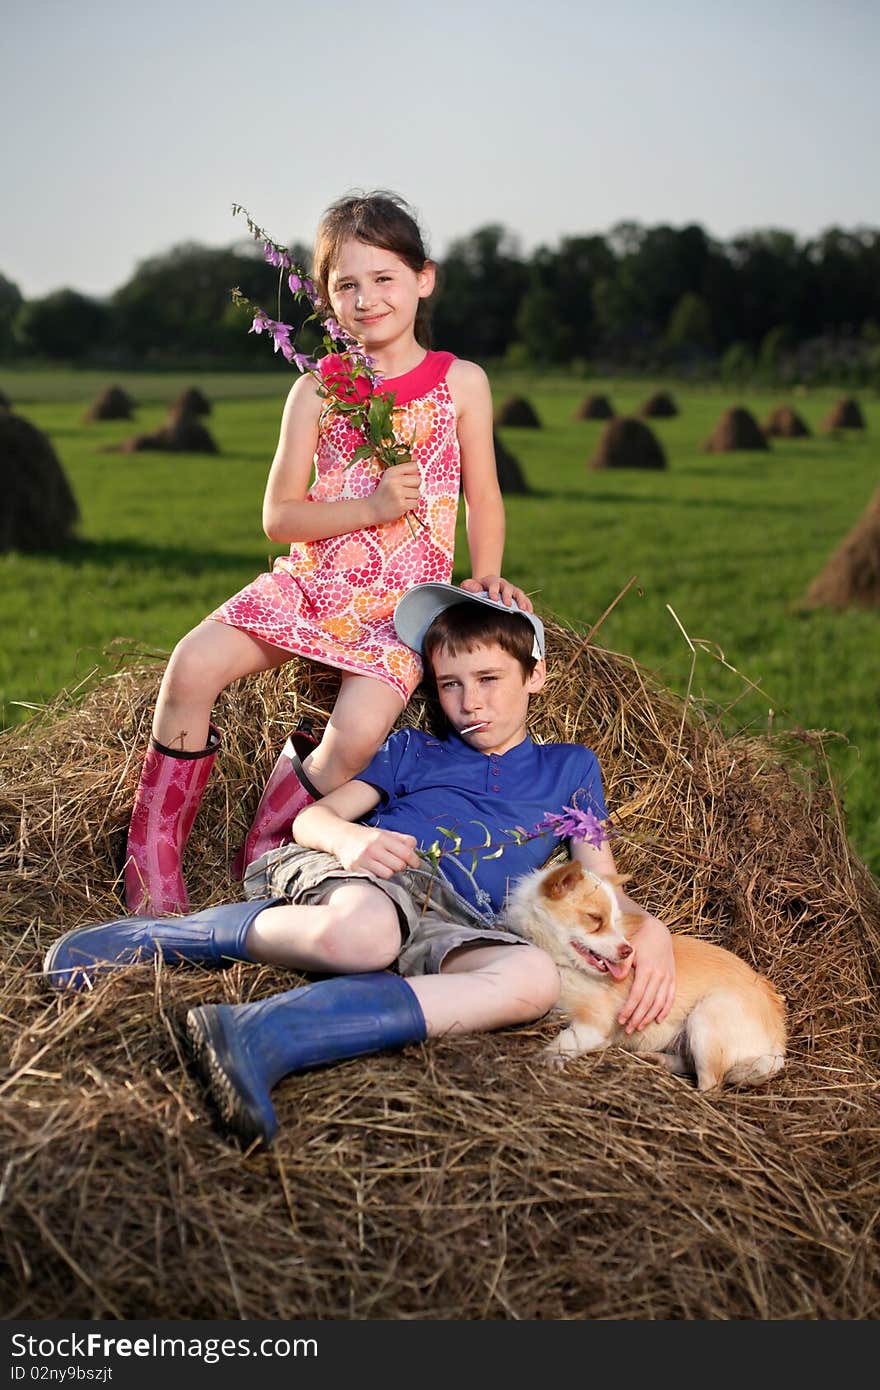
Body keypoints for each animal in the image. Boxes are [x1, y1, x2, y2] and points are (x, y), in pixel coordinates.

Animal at [503, 856, 784, 1084]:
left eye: (616, 922)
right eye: (595, 919)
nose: (628, 951)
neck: (564, 964)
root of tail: (779, 1036)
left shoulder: (596, 1024)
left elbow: (567, 1038)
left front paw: (551, 1054)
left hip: (706, 1017)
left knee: (711, 1085)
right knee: (689, 1065)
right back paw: (658, 1060)